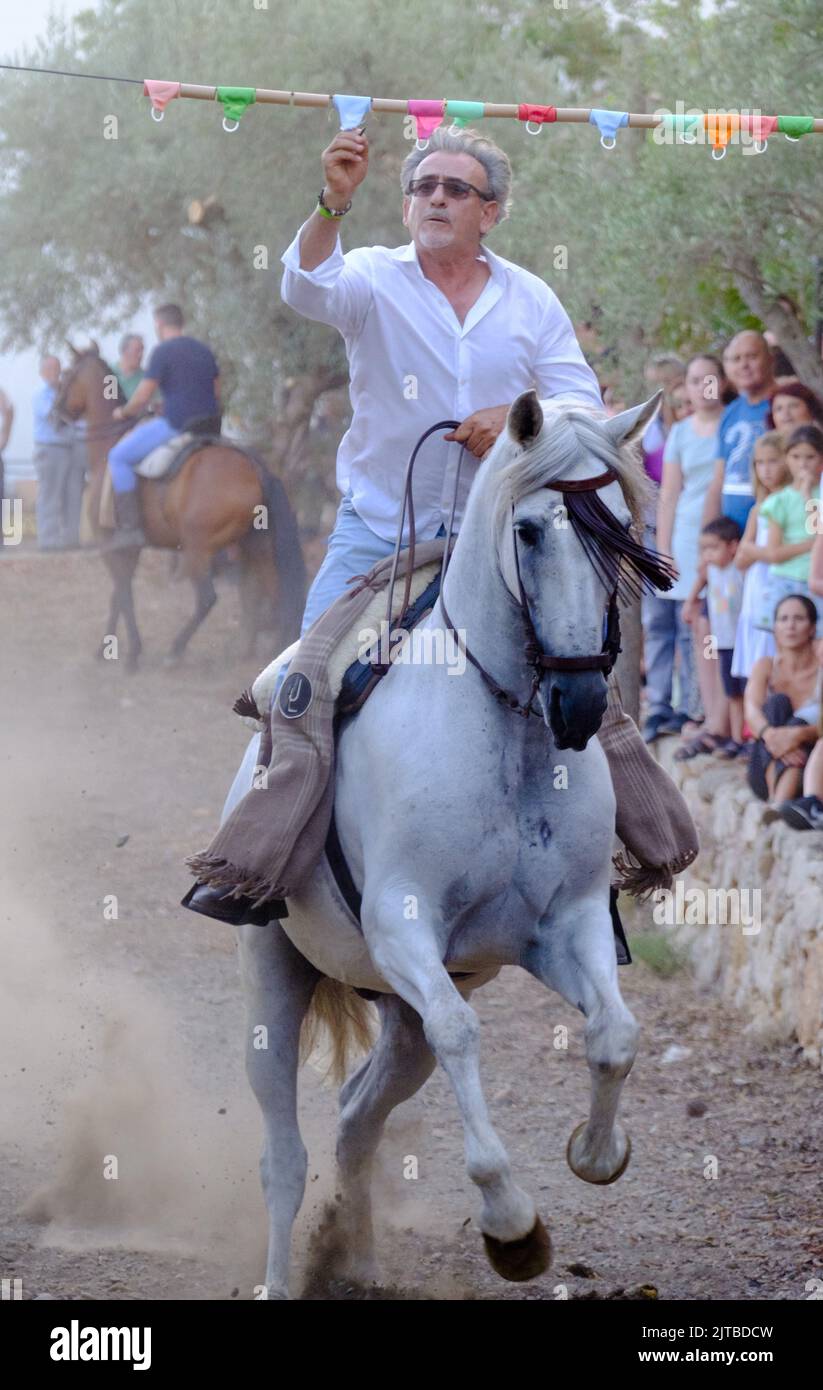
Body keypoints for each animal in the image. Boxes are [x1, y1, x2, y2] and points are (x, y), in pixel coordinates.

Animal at [56, 347, 308, 672]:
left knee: (206, 598)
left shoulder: (109, 543)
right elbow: (118, 595)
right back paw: (271, 652)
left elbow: (123, 593)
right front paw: (105, 648)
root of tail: (254, 467)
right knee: (273, 591)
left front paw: (131, 654)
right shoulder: (128, 548)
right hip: (257, 546)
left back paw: (175, 651)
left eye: (66, 374)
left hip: (197, 547)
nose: (54, 414)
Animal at [229, 389, 661, 1289]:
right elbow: (464, 1033)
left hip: (398, 1020)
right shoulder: (403, 927)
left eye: (617, 532)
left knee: (356, 1117)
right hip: (274, 976)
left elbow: (614, 1035)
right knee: (283, 1155)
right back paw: (282, 1278)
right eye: (528, 531)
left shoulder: (561, 925)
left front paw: (595, 1152)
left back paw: (353, 1258)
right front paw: (511, 1225)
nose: (577, 702)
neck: (505, 741)